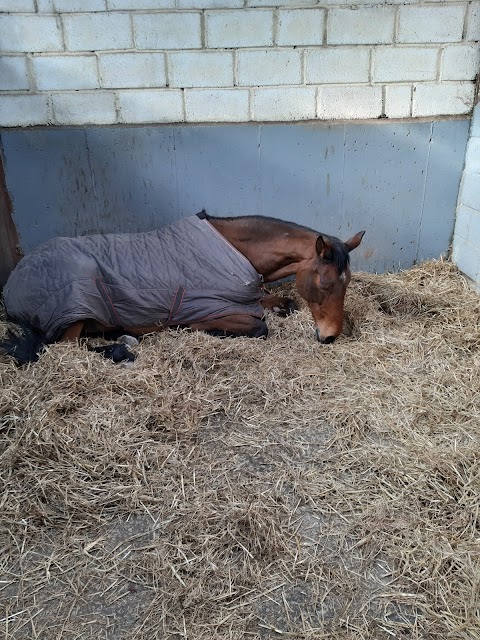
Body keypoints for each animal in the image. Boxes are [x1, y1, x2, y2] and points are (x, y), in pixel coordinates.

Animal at [0, 211, 364, 364]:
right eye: (325, 283)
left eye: (347, 283)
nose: (330, 336)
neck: (236, 251)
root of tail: (13, 284)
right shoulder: (210, 307)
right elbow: (259, 327)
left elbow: (280, 303)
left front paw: (279, 304)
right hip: (75, 304)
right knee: (65, 348)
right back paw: (122, 346)